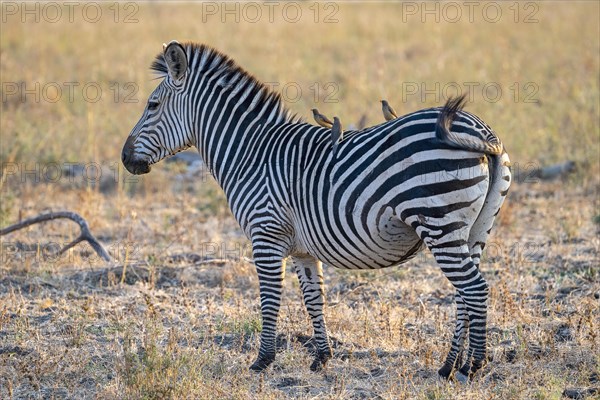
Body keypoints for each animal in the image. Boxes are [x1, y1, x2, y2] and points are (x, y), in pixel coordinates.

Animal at [120, 40, 510, 382]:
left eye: (152, 105)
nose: (125, 160)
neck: (251, 153)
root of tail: (482, 131)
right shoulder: (302, 248)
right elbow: (313, 297)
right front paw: (321, 357)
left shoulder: (265, 235)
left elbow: (269, 299)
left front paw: (262, 361)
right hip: (474, 229)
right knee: (464, 294)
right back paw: (448, 366)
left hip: (440, 221)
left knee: (475, 289)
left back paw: (473, 366)